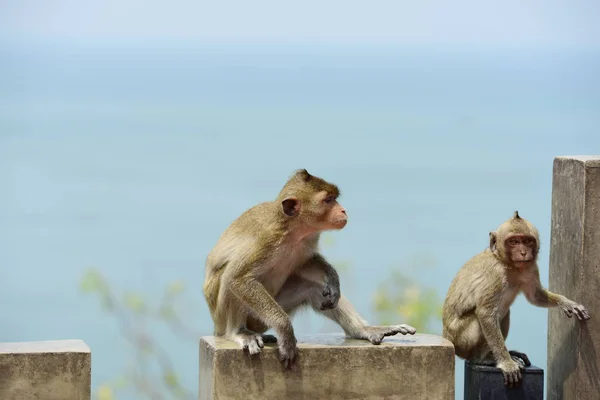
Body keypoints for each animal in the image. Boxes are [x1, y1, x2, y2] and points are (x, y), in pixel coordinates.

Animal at [204, 169, 414, 368]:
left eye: (335, 198)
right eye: (328, 200)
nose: (344, 211)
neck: (292, 230)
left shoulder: (309, 239)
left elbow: (307, 263)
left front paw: (333, 279)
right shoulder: (266, 239)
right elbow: (237, 278)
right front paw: (286, 332)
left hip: (261, 319)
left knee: (314, 289)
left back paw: (362, 330)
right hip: (235, 316)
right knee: (228, 278)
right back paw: (239, 332)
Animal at [440, 211, 592, 386]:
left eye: (527, 241)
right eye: (513, 242)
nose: (523, 253)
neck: (509, 264)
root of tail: (447, 338)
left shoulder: (531, 268)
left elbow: (535, 296)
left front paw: (567, 303)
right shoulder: (495, 274)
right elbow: (485, 313)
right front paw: (506, 363)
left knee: (505, 313)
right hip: (461, 339)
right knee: (483, 320)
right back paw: (485, 358)